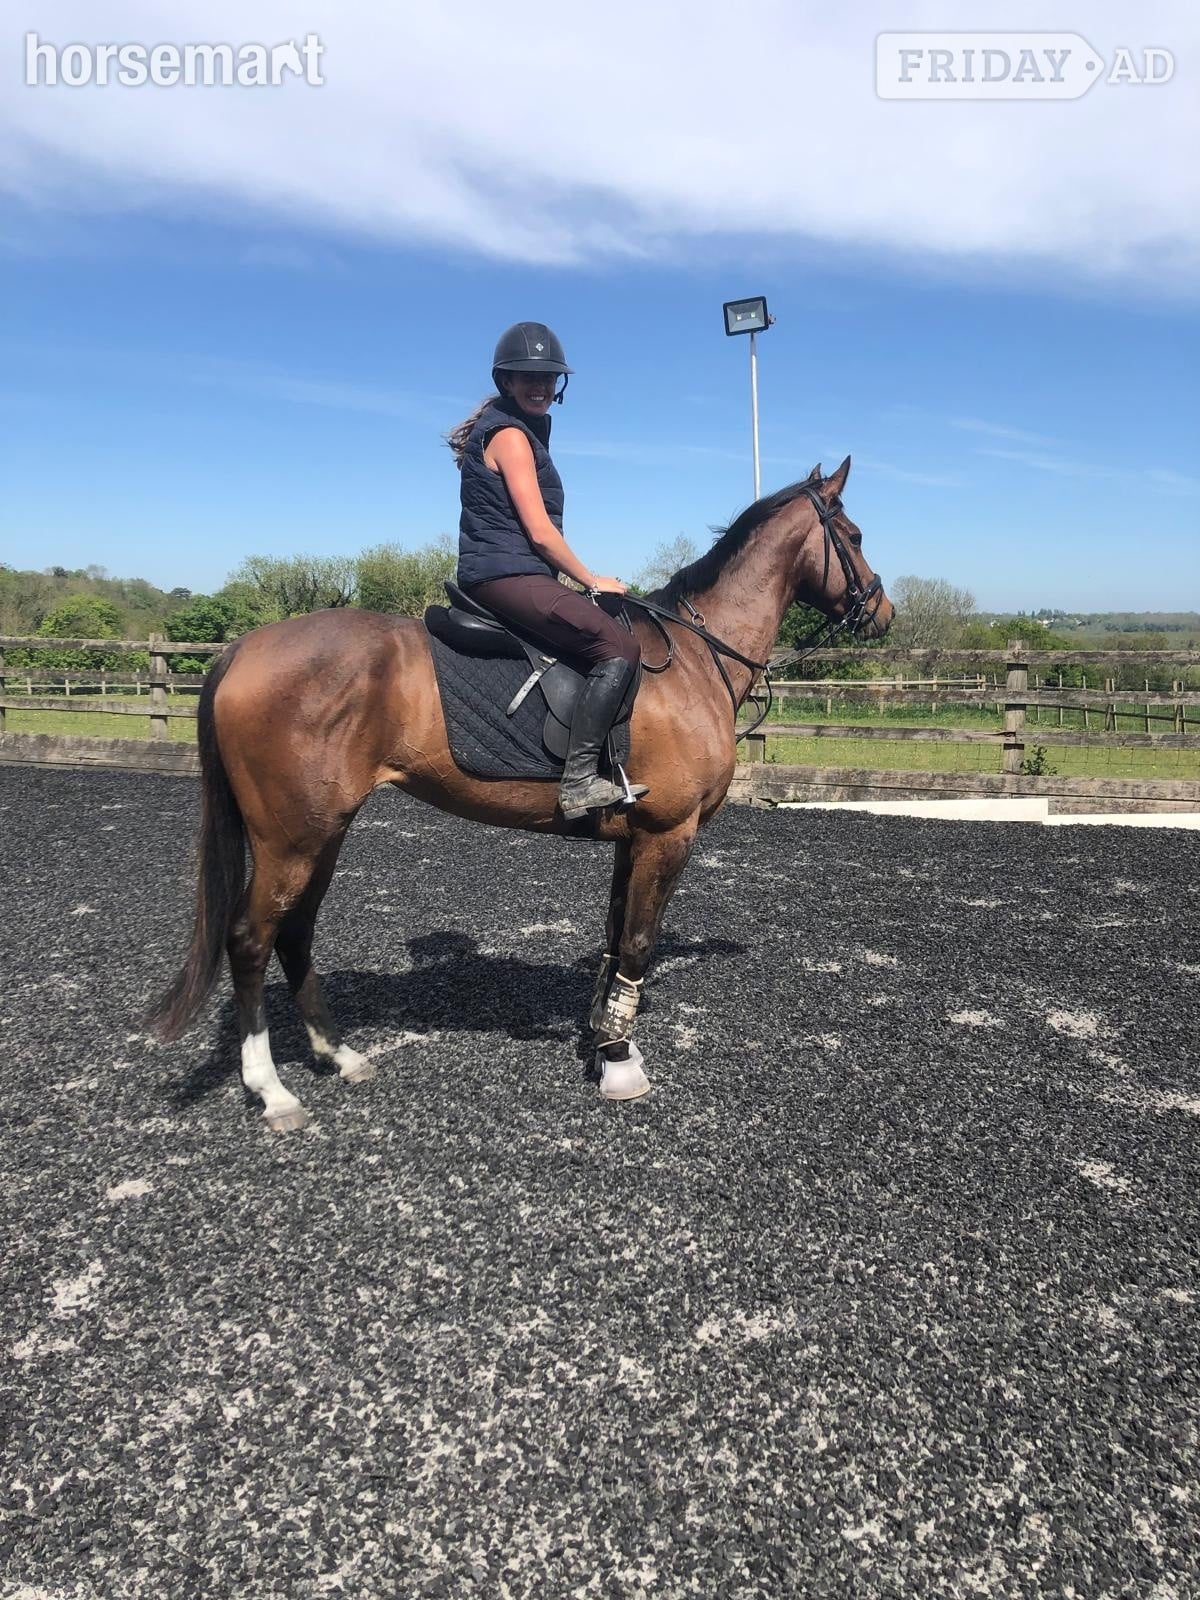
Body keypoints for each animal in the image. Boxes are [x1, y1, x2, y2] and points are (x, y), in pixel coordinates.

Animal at [149, 457, 893, 1128]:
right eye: (854, 536)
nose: (883, 611)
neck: (691, 658)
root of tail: (244, 648)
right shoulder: (667, 835)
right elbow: (638, 943)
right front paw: (620, 1062)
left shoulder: (631, 839)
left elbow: (614, 936)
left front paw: (603, 1039)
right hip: (291, 838)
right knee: (250, 939)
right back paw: (272, 1092)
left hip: (323, 833)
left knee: (295, 933)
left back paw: (340, 1055)